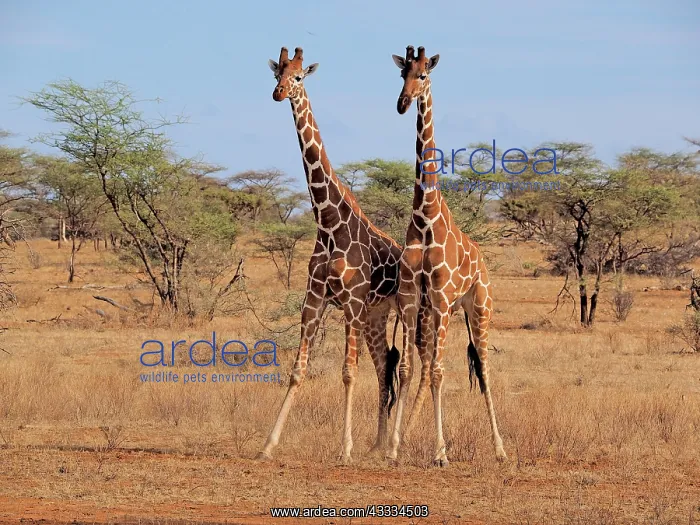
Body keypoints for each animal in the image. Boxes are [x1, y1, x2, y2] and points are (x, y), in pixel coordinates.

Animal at [258, 47, 430, 463]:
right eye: (276, 74)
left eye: (299, 76)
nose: (279, 93)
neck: (328, 221)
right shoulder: (315, 298)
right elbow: (298, 369)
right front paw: (268, 445)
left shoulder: (350, 301)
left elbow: (348, 372)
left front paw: (345, 448)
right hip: (375, 316)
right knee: (385, 365)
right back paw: (379, 442)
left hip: (403, 312)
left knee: (407, 364)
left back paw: (390, 443)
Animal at [387, 46, 507, 466]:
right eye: (401, 74)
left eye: (423, 75)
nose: (403, 103)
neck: (425, 217)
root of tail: (483, 262)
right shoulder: (411, 299)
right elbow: (407, 369)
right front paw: (393, 447)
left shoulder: (439, 298)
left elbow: (440, 372)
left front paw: (440, 452)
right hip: (446, 313)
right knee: (429, 367)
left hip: (478, 308)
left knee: (484, 370)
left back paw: (501, 449)